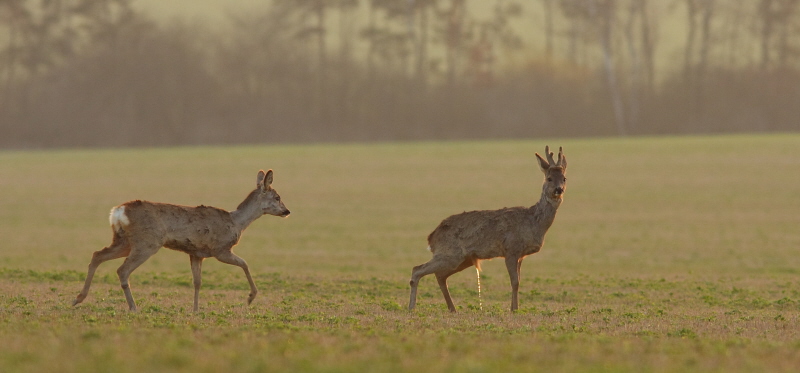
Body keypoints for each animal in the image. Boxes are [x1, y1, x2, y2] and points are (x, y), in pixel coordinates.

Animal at [71, 169, 290, 310]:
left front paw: (195, 310)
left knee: (97, 255)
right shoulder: (220, 249)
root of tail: (118, 211)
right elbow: (245, 263)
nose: (287, 211)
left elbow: (197, 282)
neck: (236, 222)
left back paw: (78, 298)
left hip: (123, 241)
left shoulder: (196, 253)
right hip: (146, 242)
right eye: (277, 197)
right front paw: (251, 298)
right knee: (122, 270)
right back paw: (133, 307)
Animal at [406, 145, 568, 310]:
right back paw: (412, 307)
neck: (534, 223)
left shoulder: (521, 255)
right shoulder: (511, 249)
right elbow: (515, 282)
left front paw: (514, 308)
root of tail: (431, 237)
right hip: (449, 254)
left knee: (440, 276)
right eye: (549, 178)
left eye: (564, 178)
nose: (559, 189)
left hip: (463, 259)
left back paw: (453, 309)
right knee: (417, 269)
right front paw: (514, 309)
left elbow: (518, 281)